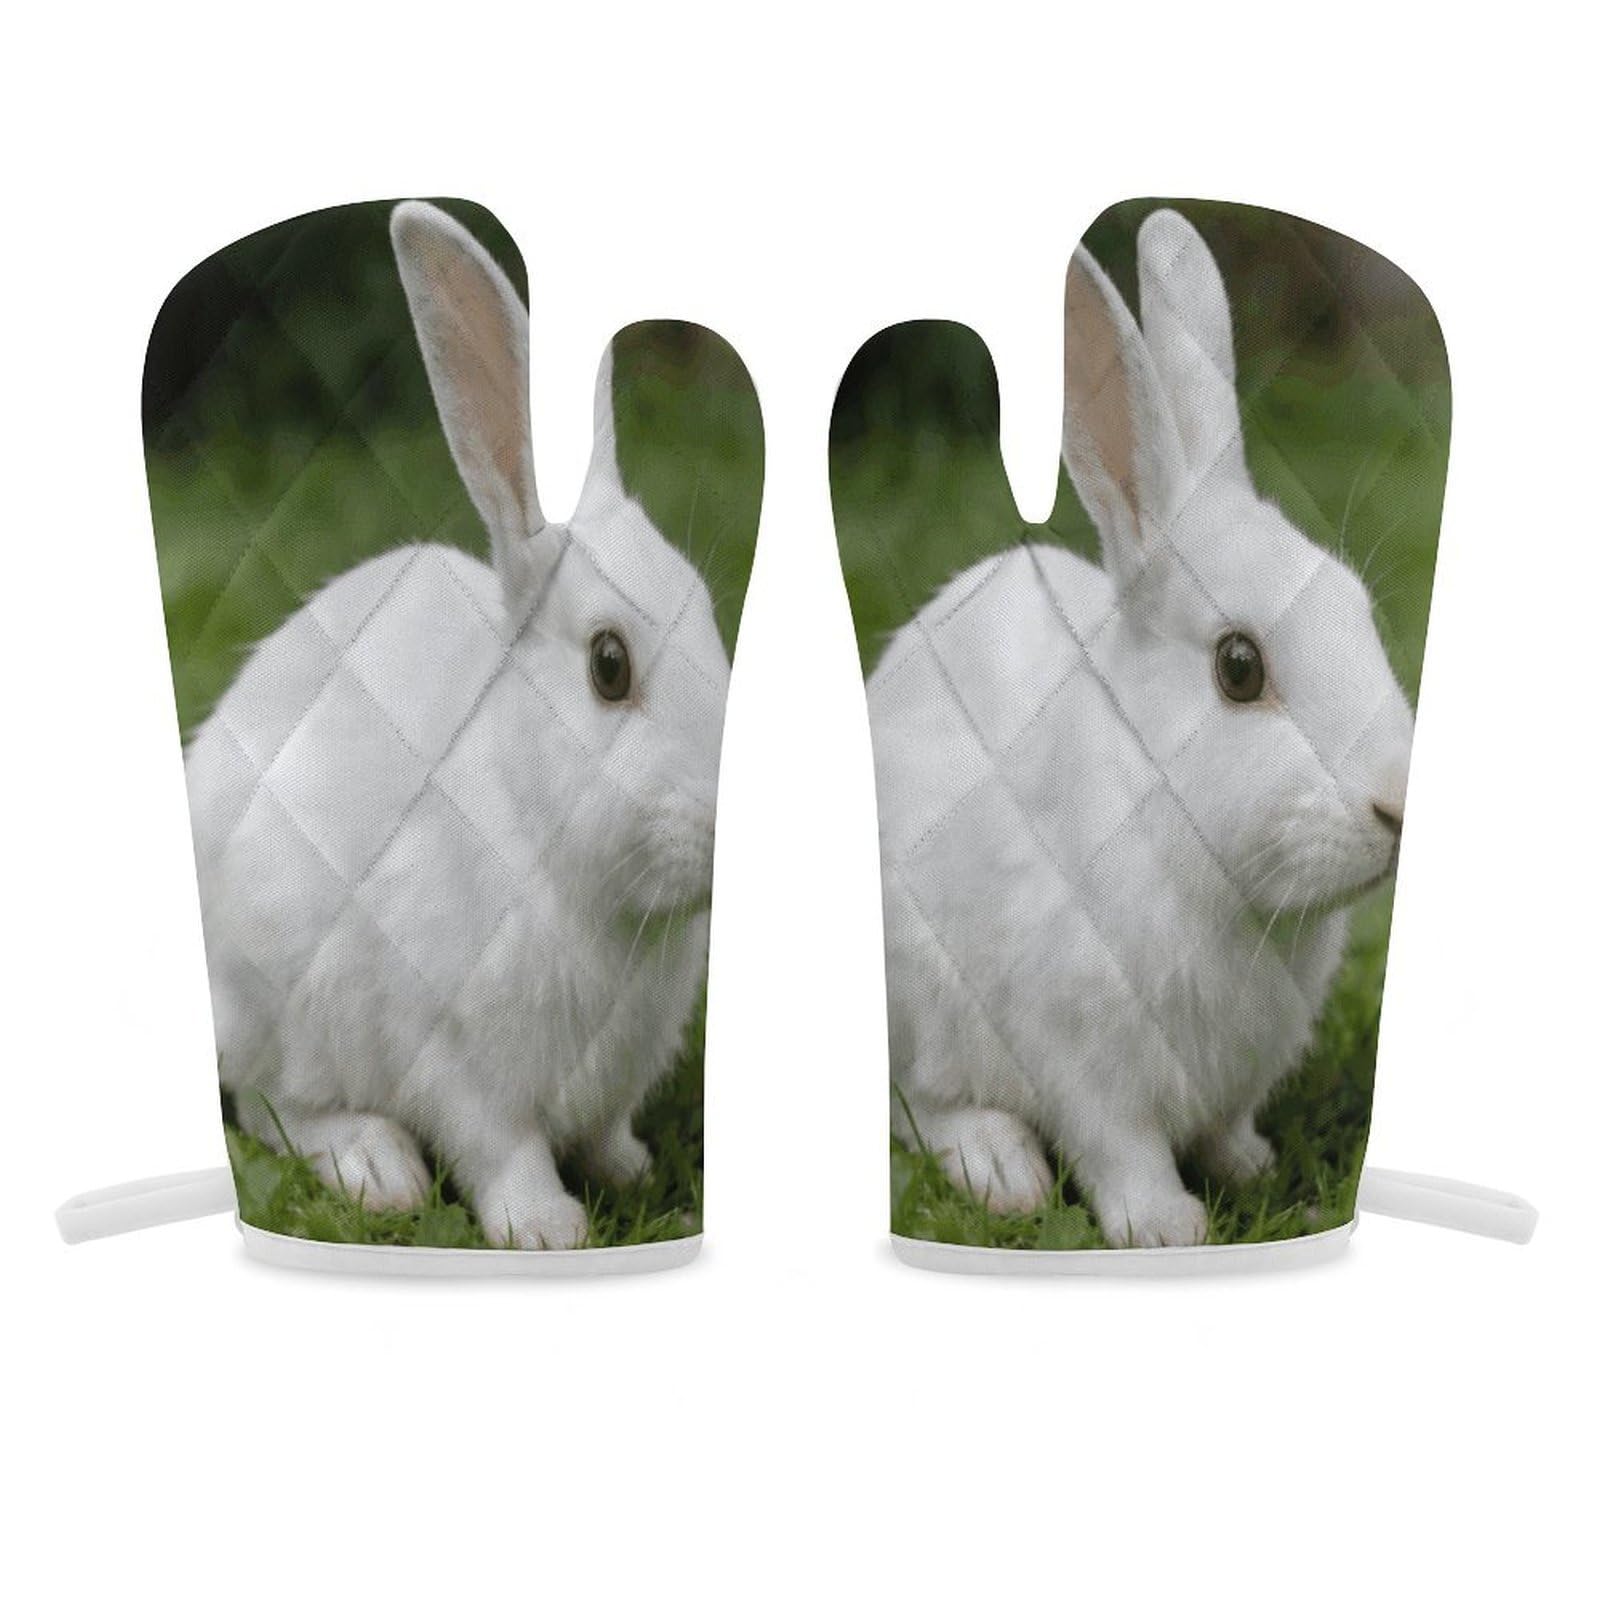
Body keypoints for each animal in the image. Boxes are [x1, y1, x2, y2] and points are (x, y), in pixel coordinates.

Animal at [183, 200, 729, 1248]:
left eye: (712, 616)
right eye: (609, 666)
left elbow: (605, 1132)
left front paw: (632, 1171)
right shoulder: (459, 1063)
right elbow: (499, 1151)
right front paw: (548, 1230)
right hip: (269, 985)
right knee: (273, 1103)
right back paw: (376, 1167)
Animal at [869, 208, 1413, 1247]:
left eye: (1358, 610)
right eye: (1239, 669)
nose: (1399, 804)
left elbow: (1224, 1126)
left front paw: (1250, 1165)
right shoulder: (1084, 1057)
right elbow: (1121, 1149)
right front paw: (1165, 1229)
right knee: (921, 1104)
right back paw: (1002, 1170)